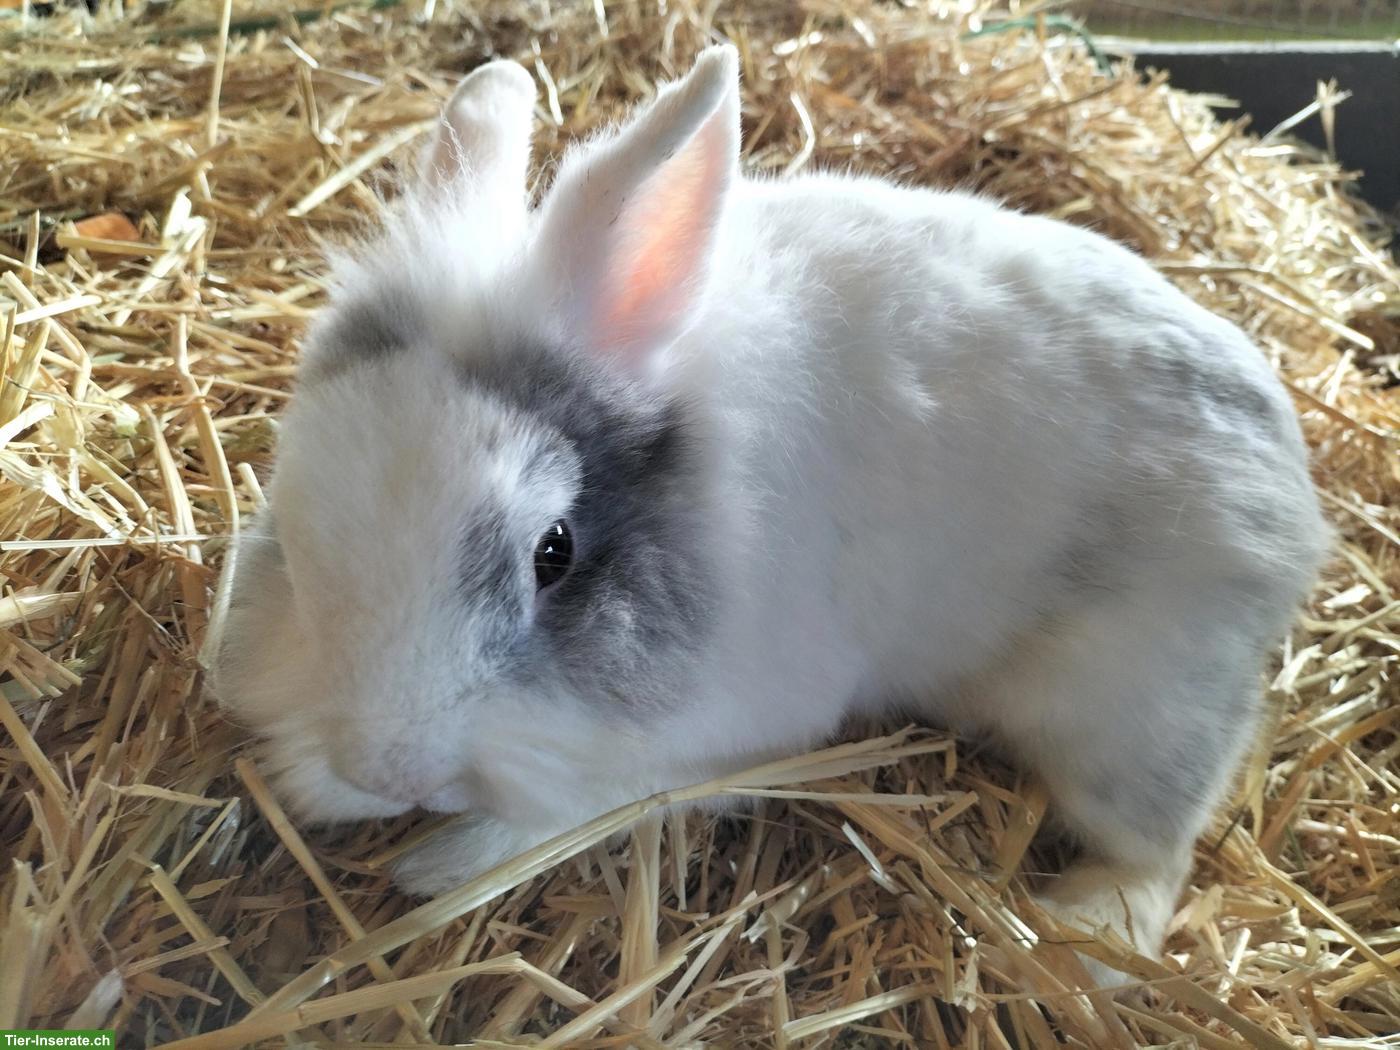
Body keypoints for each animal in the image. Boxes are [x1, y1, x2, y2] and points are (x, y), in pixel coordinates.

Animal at [208, 45, 1329, 986]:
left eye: (553, 553)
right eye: (296, 536)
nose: (389, 766)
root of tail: (1288, 476)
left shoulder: (715, 742)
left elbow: (577, 807)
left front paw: (438, 863)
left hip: (1132, 715)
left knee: (1156, 851)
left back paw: (1085, 940)